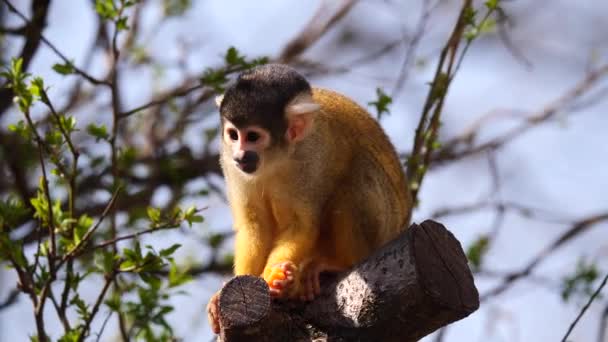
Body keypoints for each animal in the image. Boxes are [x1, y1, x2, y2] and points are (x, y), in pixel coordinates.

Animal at [207, 64, 410, 334]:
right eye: (233, 134)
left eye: (252, 136)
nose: (241, 155)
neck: (277, 158)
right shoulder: (229, 161)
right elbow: (254, 225)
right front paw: (229, 290)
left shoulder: (311, 156)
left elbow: (301, 225)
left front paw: (275, 277)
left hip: (385, 229)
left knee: (357, 175)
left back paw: (339, 263)